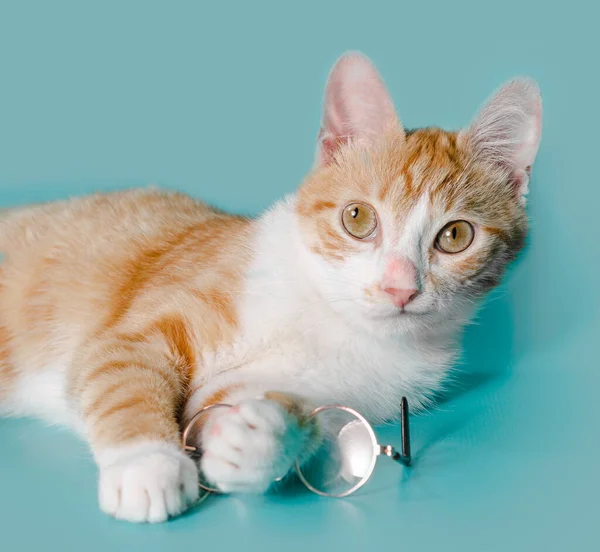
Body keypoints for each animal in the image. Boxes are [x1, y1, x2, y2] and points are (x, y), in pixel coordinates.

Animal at [0, 54, 544, 524]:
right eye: (358, 218)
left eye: (455, 237)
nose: (399, 288)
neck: (333, 319)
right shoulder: (133, 334)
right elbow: (123, 376)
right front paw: (146, 464)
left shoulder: (348, 389)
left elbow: (247, 410)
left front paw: (260, 441)